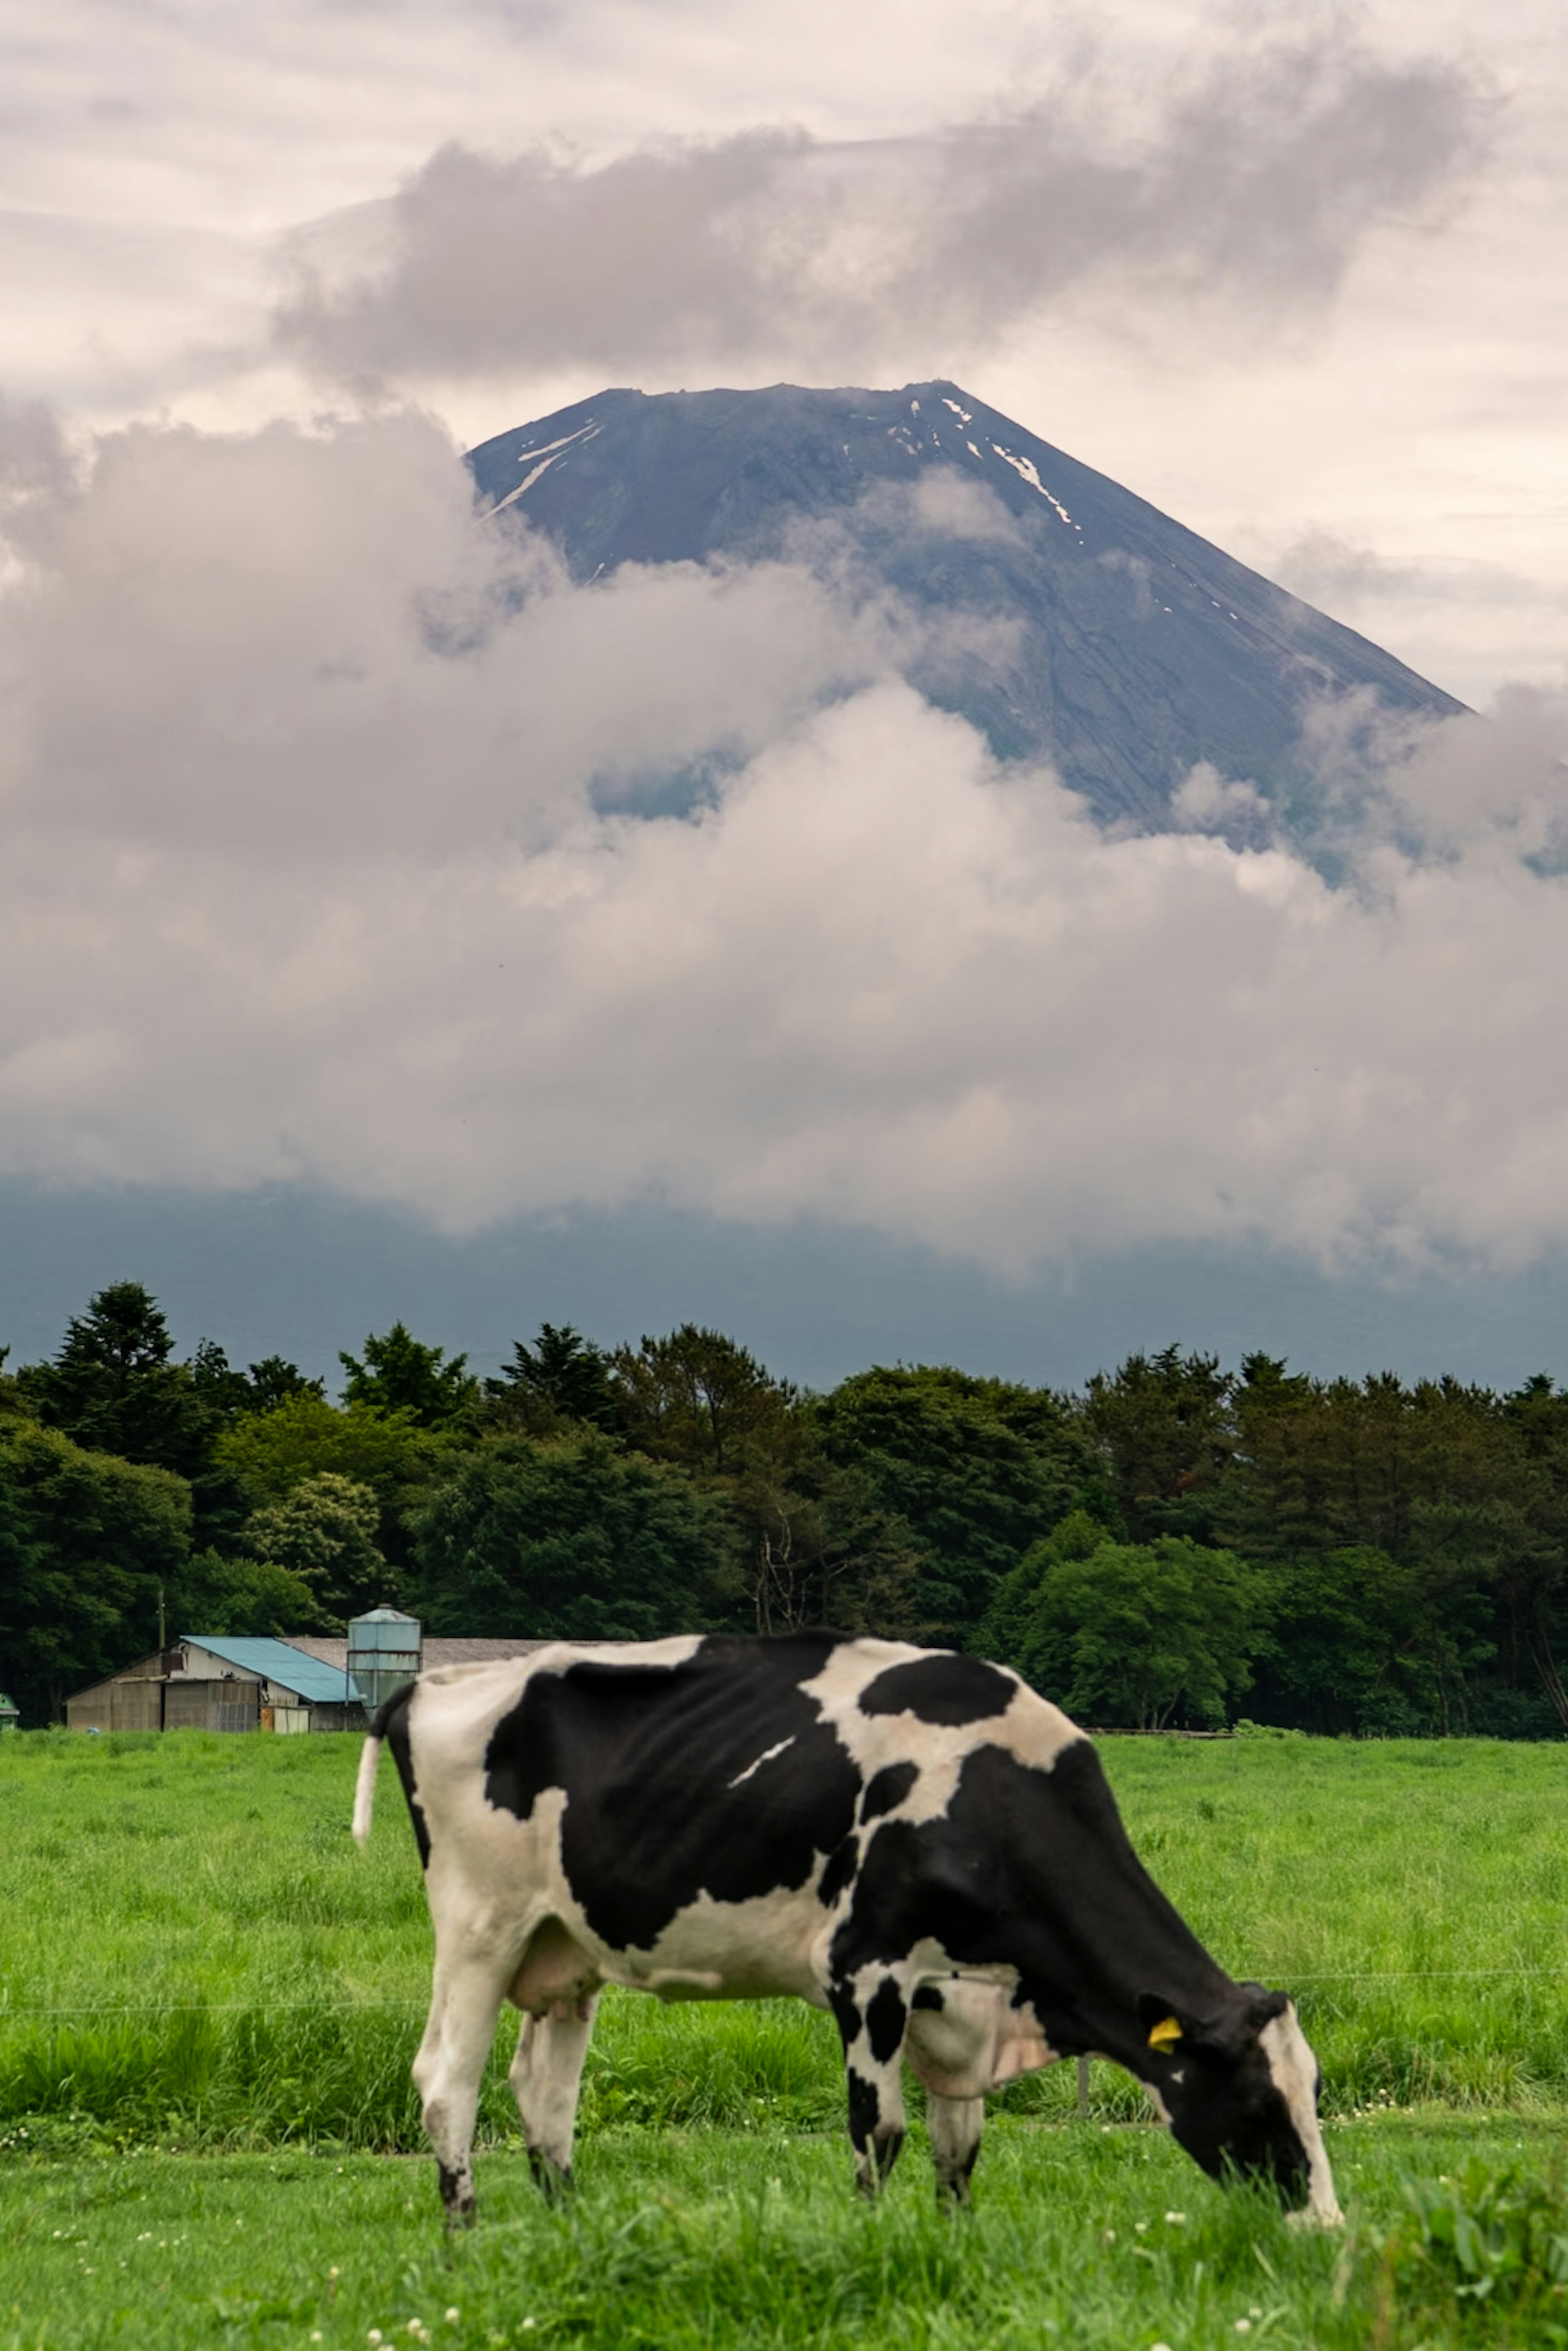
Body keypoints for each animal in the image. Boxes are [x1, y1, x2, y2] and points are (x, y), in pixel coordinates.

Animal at [352, 1636, 1335, 2219]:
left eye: (1314, 2094)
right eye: (1259, 2102)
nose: (1326, 2226)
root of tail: (434, 1680)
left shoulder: (954, 1999)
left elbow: (959, 2146)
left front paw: (952, 2243)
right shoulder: (864, 1973)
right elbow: (881, 2132)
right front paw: (876, 2242)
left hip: (566, 1949)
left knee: (544, 2095)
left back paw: (571, 2229)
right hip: (480, 1928)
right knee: (447, 2080)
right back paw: (465, 2239)